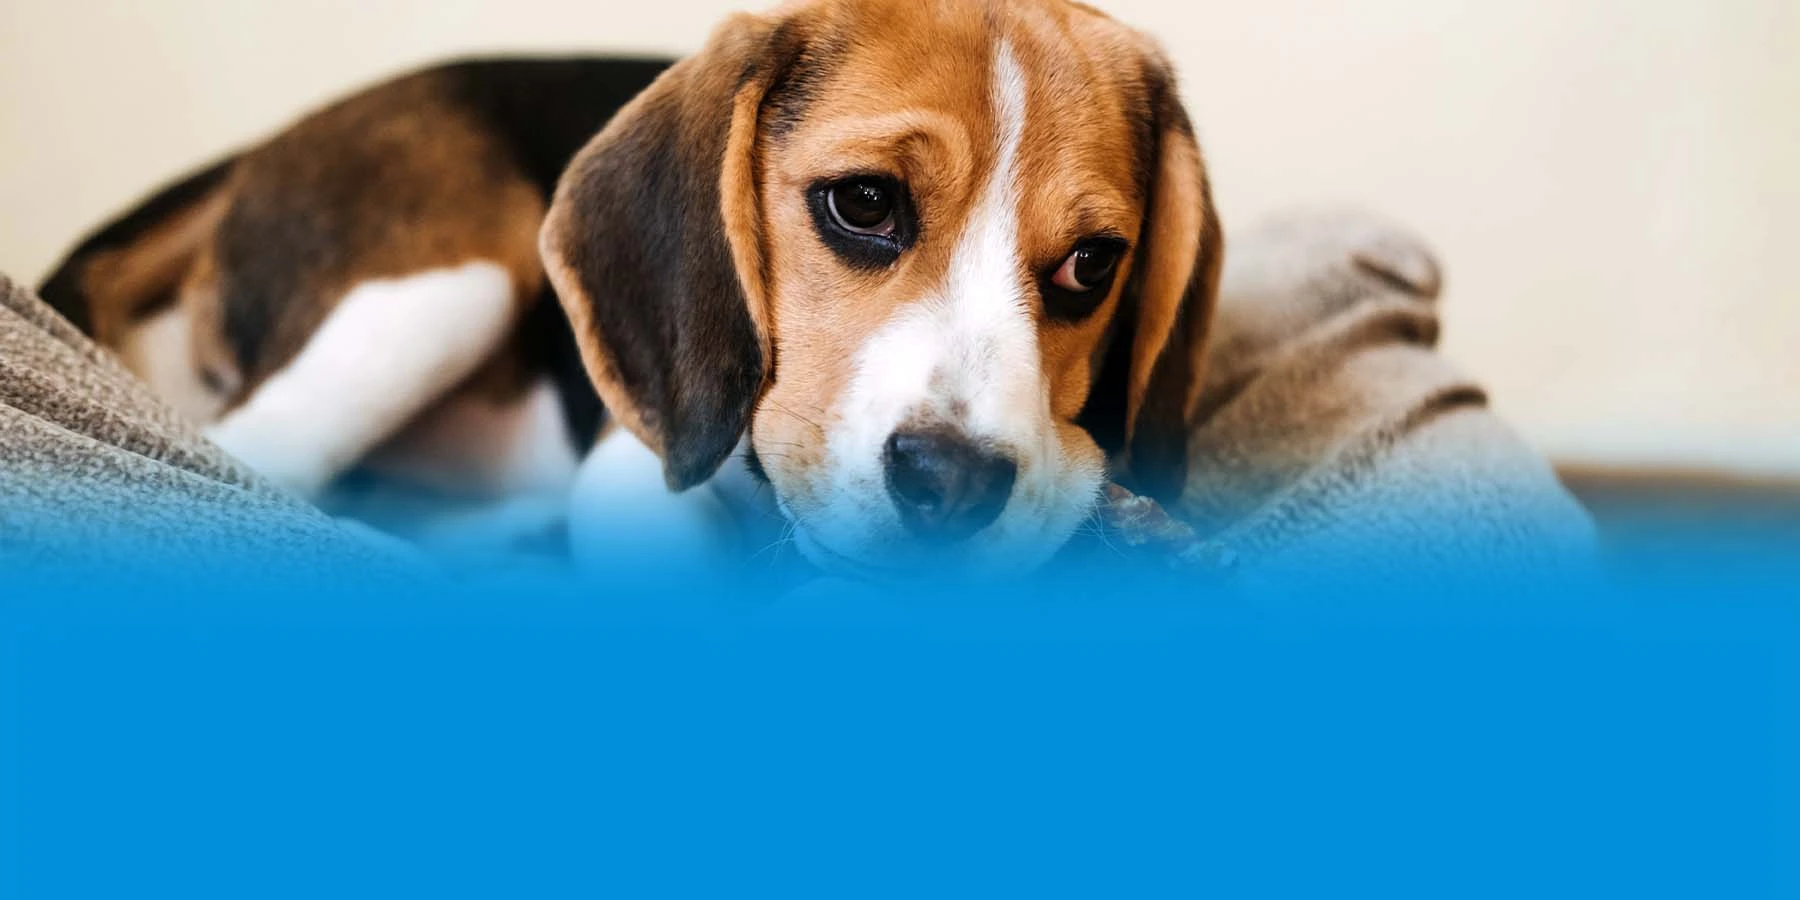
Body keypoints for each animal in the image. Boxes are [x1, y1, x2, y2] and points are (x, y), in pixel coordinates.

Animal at [38, 0, 1224, 576]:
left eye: (1091, 266)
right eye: (863, 203)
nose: (956, 484)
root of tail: (261, 149)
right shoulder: (627, 486)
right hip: (444, 291)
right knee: (244, 461)